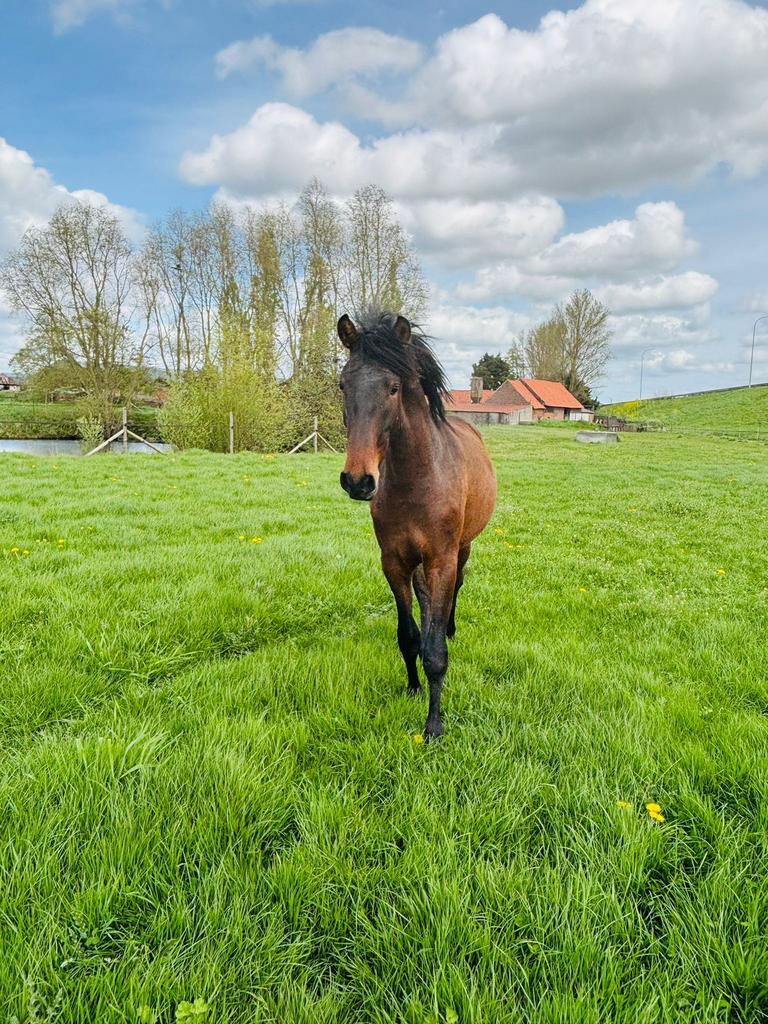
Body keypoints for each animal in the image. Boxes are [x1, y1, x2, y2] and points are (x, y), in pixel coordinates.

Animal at [337, 310, 497, 740]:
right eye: (343, 384)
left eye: (393, 388)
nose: (358, 481)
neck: (417, 480)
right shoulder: (393, 561)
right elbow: (408, 637)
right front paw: (412, 688)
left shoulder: (442, 557)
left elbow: (436, 654)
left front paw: (434, 726)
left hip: (463, 549)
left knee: (456, 588)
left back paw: (450, 626)